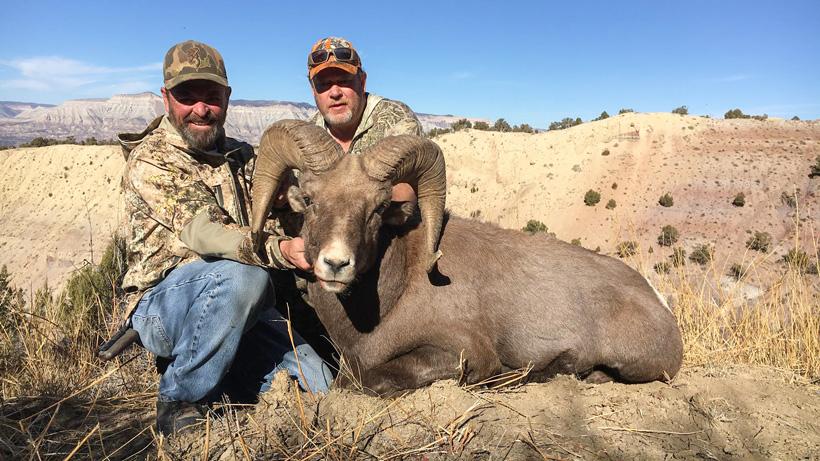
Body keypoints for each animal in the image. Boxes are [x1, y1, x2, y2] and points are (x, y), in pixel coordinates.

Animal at [251, 120, 683, 396]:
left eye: (378, 207)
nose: (336, 264)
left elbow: (366, 380)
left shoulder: (462, 353)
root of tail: (658, 302)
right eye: (309, 199)